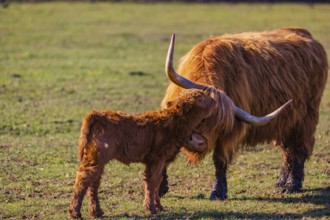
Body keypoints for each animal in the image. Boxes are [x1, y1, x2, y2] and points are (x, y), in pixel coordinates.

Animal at [68, 88, 215, 217]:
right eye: (201, 97)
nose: (214, 100)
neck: (175, 121)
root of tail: (96, 114)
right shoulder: (157, 159)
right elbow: (152, 181)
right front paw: (151, 209)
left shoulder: (159, 161)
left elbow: (157, 181)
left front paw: (159, 206)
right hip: (97, 157)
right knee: (83, 178)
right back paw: (75, 212)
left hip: (98, 159)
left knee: (93, 183)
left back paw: (96, 212)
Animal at [159, 27, 328, 199]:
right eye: (196, 115)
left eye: (218, 126)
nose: (197, 141)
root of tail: (306, 34)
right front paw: (161, 188)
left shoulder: (229, 133)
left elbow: (220, 160)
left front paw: (218, 192)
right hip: (286, 122)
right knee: (287, 150)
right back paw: (281, 181)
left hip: (306, 118)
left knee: (299, 148)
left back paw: (292, 184)